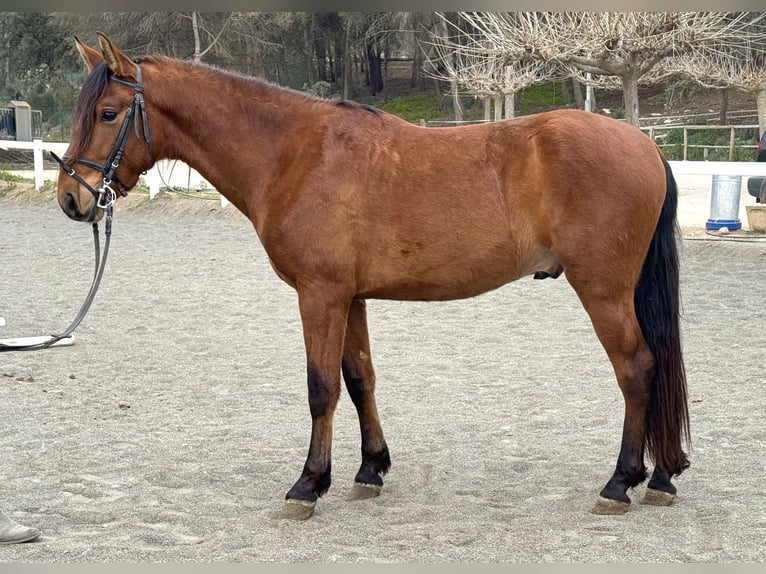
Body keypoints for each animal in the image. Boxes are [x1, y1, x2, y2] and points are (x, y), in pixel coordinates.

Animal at [54, 33, 688, 524]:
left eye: (108, 113)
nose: (71, 200)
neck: (294, 155)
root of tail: (644, 144)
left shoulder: (320, 295)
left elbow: (321, 388)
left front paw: (308, 485)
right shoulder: (350, 297)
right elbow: (360, 380)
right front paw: (369, 469)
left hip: (603, 290)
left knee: (637, 368)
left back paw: (621, 483)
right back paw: (660, 477)